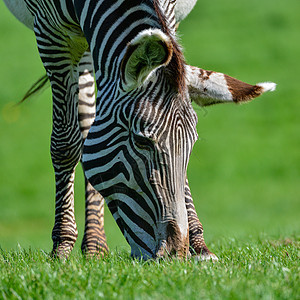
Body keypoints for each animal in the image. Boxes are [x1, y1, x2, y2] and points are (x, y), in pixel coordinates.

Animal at [4, 0, 274, 258]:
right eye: (141, 140)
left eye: (193, 143)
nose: (174, 253)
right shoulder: (50, 33)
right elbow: (65, 143)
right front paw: (61, 244)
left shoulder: (170, 16)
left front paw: (199, 246)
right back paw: (92, 244)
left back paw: (96, 245)